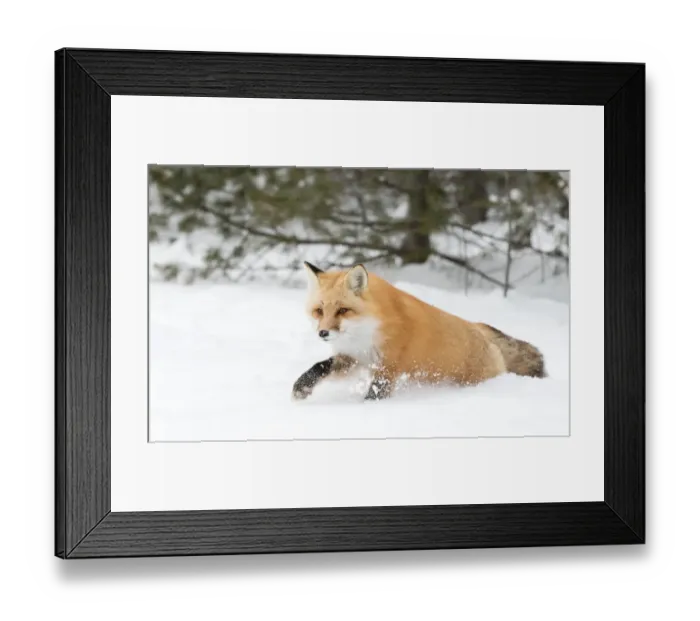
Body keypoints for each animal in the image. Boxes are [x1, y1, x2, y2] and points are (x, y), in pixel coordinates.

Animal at [292, 262, 547, 401]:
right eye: (319, 311)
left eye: (343, 310)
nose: (323, 333)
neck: (366, 332)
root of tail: (477, 327)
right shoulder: (354, 358)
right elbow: (320, 367)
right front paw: (301, 387)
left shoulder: (389, 367)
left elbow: (375, 393)